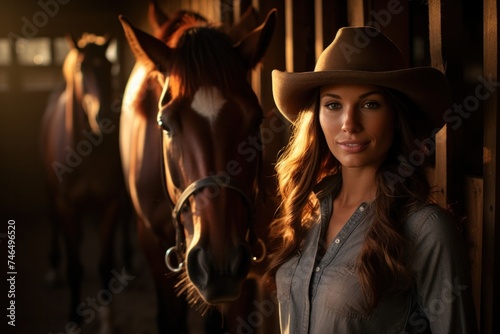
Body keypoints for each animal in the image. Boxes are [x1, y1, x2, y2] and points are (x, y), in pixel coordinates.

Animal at [40, 33, 130, 332]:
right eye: (81, 67)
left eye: (110, 65)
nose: (103, 118)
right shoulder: (66, 205)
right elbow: (75, 268)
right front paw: (74, 319)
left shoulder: (110, 204)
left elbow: (104, 263)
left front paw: (108, 321)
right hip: (52, 195)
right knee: (54, 223)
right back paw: (52, 269)